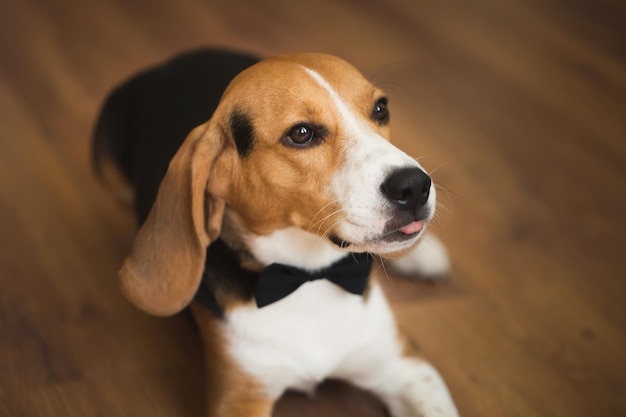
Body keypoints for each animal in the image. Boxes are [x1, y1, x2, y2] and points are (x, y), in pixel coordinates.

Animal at [95, 49, 460, 416]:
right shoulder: (239, 396)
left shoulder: (405, 366)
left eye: (380, 109)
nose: (415, 186)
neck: (307, 278)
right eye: (301, 133)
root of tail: (175, 60)